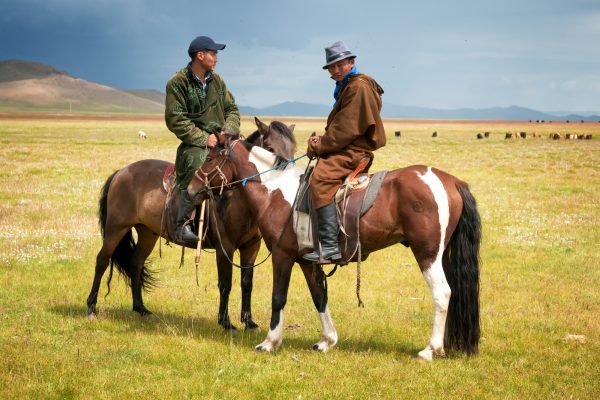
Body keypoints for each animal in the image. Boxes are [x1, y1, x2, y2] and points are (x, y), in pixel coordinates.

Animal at [85, 118, 296, 332]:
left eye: (294, 150)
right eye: (270, 149)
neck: (237, 200)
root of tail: (120, 172)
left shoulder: (251, 246)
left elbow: (247, 282)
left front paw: (249, 321)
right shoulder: (225, 247)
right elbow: (225, 283)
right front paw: (225, 322)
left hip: (147, 233)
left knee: (135, 263)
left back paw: (141, 308)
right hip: (116, 228)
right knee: (102, 260)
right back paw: (92, 307)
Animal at [190, 134, 480, 362]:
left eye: (209, 159)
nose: (192, 189)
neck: (274, 191)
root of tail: (451, 181)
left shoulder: (282, 257)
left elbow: (278, 298)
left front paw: (270, 343)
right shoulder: (306, 261)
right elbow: (319, 296)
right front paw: (327, 340)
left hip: (427, 254)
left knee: (442, 293)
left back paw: (431, 349)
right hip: (442, 255)